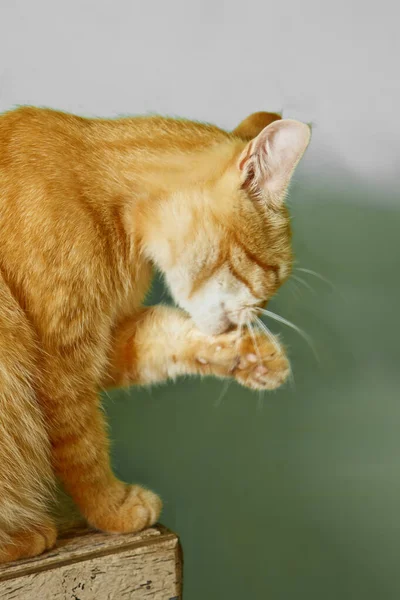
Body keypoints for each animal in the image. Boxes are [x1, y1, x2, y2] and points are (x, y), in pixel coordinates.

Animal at [0, 105, 310, 560]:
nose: (259, 312)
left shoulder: (107, 343)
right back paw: (24, 534)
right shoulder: (63, 367)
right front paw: (112, 508)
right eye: (273, 274)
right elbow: (84, 450)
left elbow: (168, 333)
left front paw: (252, 356)